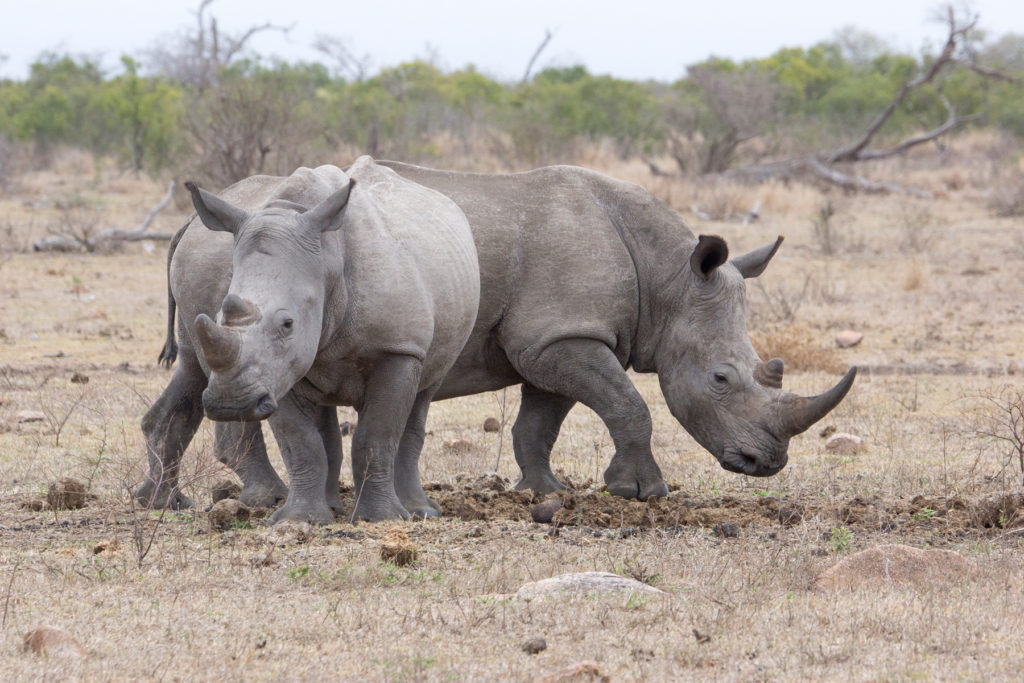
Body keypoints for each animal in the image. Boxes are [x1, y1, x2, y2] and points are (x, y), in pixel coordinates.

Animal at [134, 157, 481, 528]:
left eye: (288, 324)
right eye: (220, 316)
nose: (232, 404)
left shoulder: (397, 348)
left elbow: (377, 435)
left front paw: (380, 519)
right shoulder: (276, 371)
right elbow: (300, 440)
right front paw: (301, 520)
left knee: (423, 393)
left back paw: (419, 511)